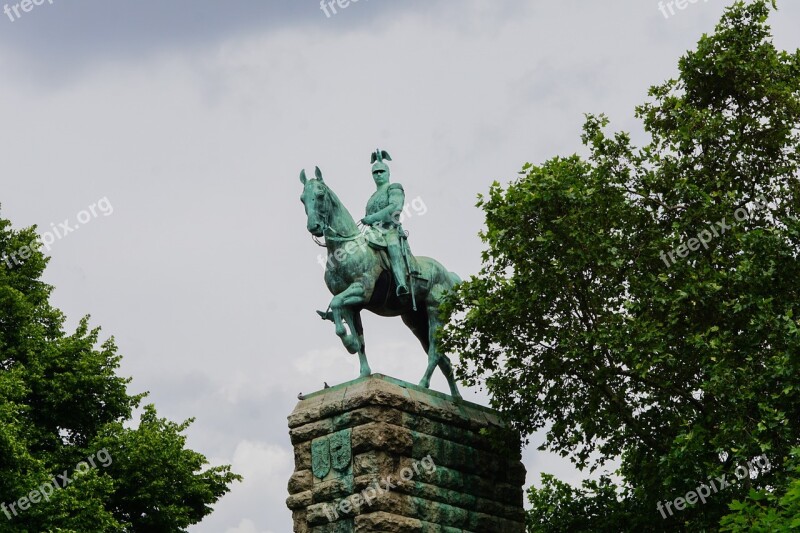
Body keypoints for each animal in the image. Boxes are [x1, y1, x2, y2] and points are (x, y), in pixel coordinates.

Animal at [298, 167, 462, 400]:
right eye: (303, 198)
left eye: (320, 195)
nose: (314, 227)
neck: (345, 248)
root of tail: (449, 274)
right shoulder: (353, 307)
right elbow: (359, 340)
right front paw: (362, 370)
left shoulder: (361, 290)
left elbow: (337, 305)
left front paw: (349, 344)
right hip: (415, 321)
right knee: (444, 360)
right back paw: (456, 398)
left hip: (435, 313)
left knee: (435, 352)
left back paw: (422, 384)